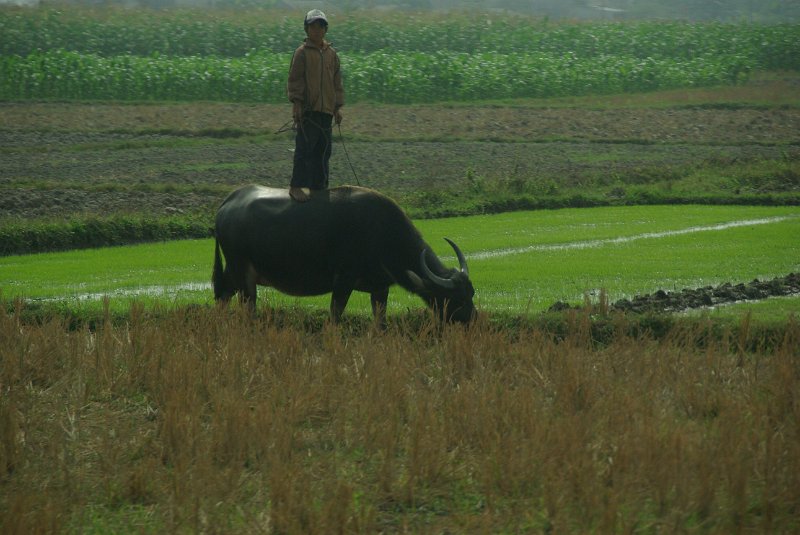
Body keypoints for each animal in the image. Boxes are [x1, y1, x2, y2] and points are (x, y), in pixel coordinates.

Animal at [212, 185, 476, 322]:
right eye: (454, 298)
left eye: (471, 293)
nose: (472, 321)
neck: (381, 233)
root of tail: (228, 202)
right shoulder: (343, 281)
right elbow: (335, 315)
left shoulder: (380, 287)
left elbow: (380, 321)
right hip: (243, 273)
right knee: (247, 306)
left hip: (234, 271)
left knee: (223, 295)